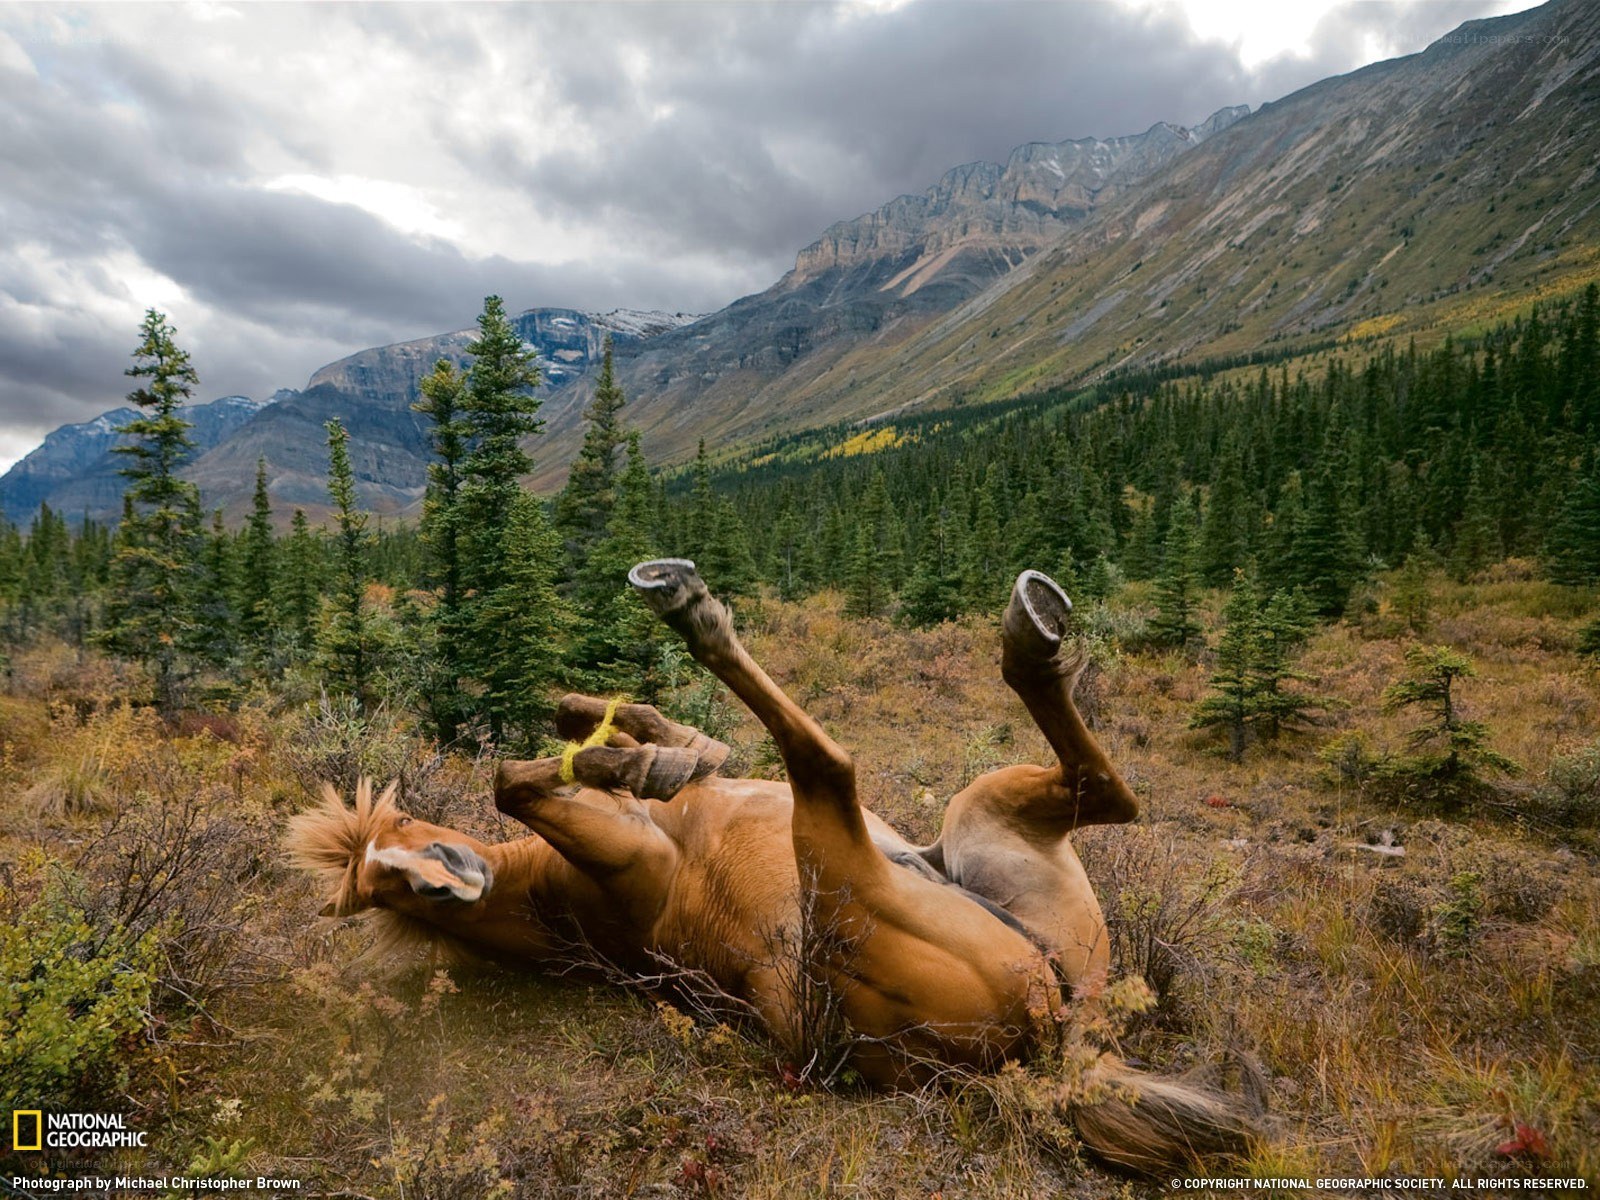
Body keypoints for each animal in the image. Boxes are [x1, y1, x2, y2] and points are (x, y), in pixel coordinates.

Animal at [288, 562, 1263, 1172]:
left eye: (401, 830)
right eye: (394, 892)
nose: (445, 878)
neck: (563, 903)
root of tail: (1053, 1044)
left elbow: (626, 728)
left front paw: (643, 749)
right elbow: (514, 781)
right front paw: (624, 761)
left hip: (985, 826)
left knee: (1106, 792)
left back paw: (1034, 627)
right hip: (847, 863)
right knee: (830, 764)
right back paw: (692, 607)